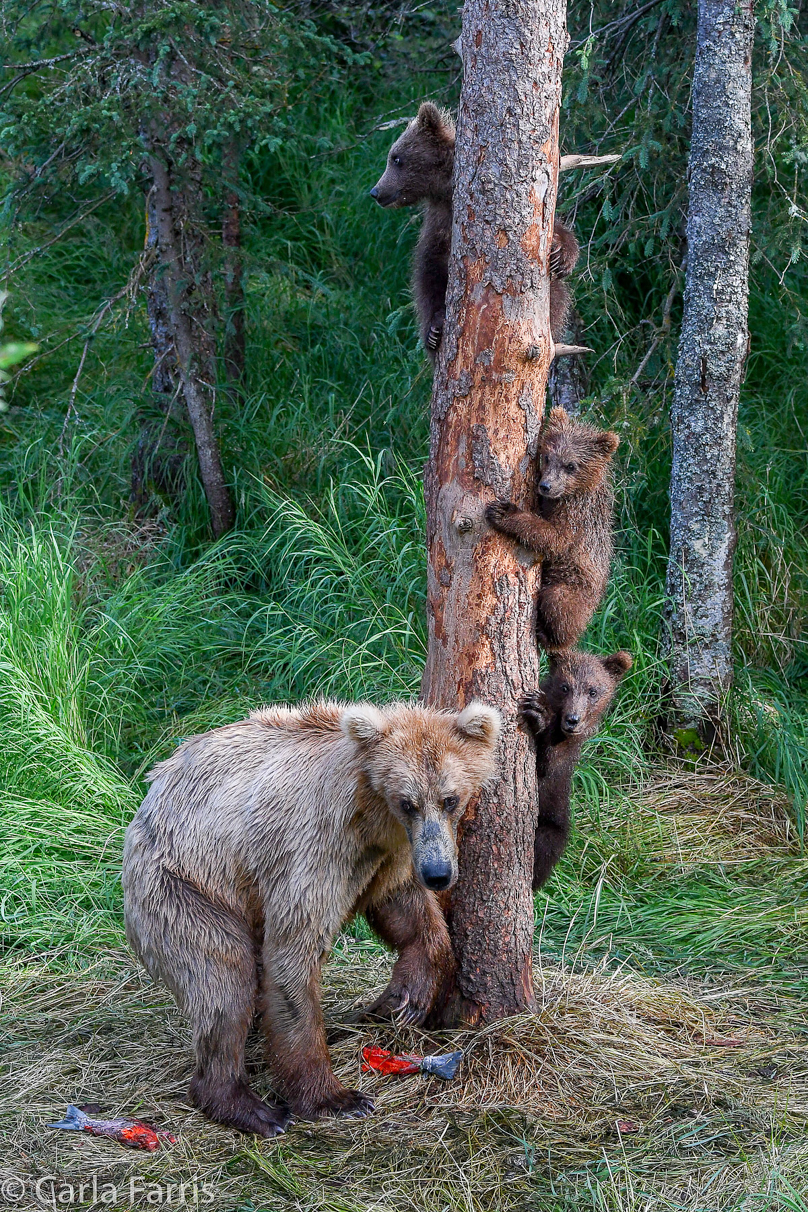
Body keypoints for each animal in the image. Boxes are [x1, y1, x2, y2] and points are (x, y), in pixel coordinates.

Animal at [121, 702, 499, 1134]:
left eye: (450, 799)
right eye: (408, 802)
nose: (438, 873)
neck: (370, 814)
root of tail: (148, 800)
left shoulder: (390, 855)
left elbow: (402, 907)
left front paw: (405, 997)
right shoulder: (315, 846)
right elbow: (293, 955)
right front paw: (336, 1098)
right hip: (183, 889)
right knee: (223, 983)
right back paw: (249, 1106)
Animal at [373, 101, 581, 356]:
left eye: (396, 158)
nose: (376, 192)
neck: (446, 191)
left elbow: (558, 231)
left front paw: (561, 257)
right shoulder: (438, 225)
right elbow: (428, 271)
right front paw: (433, 329)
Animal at [486, 407, 620, 654]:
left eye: (571, 465)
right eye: (548, 456)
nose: (546, 486)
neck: (570, 494)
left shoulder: (577, 518)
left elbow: (554, 538)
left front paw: (504, 512)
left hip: (574, 586)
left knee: (559, 605)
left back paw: (551, 638)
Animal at [520, 654, 634, 892]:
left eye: (593, 691)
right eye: (565, 687)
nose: (573, 719)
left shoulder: (564, 758)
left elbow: (548, 765)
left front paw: (539, 713)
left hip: (553, 822)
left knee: (545, 847)